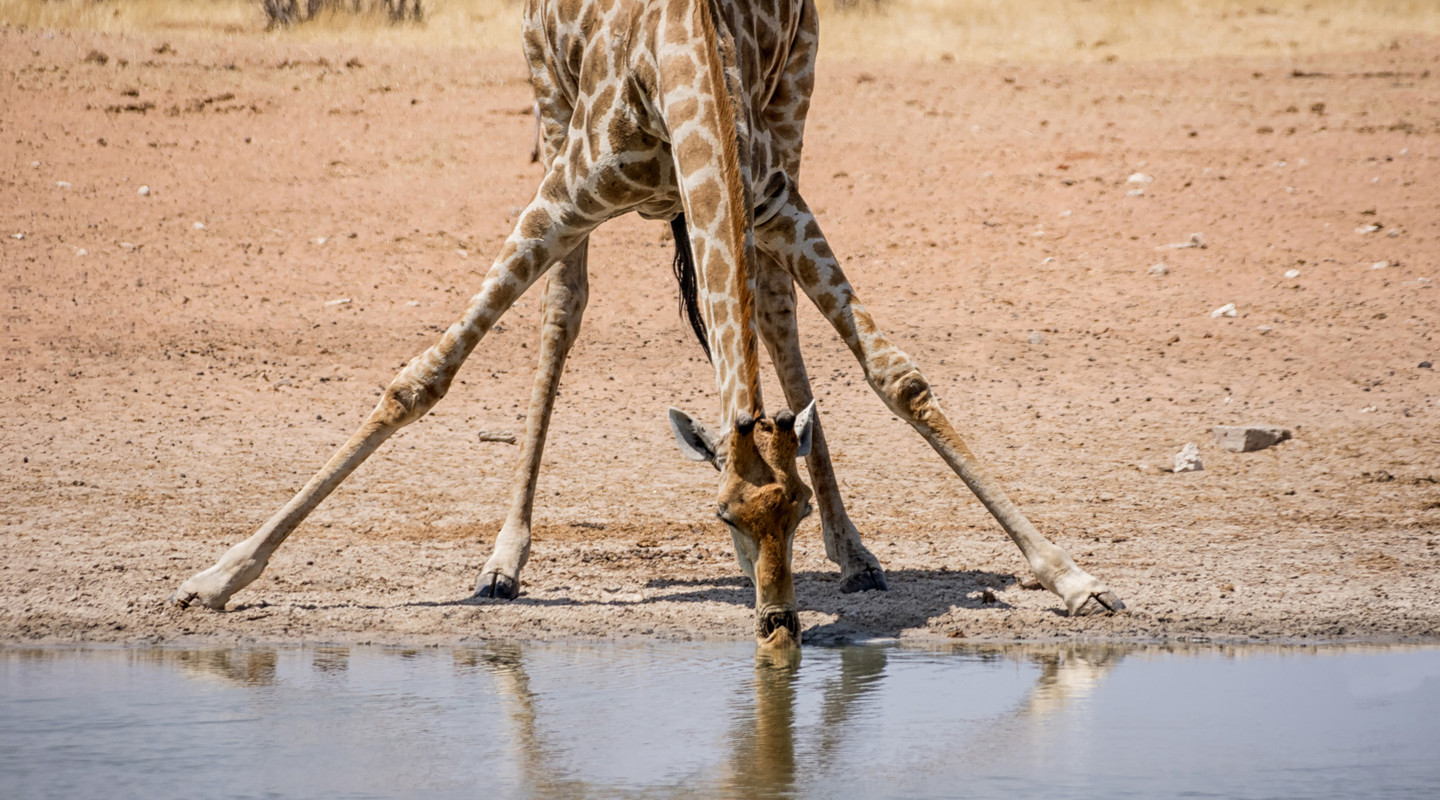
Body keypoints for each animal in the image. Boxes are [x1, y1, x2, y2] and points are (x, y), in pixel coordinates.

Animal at [174, 0, 1123, 644]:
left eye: (794, 513)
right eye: (723, 518)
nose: (778, 624)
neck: (679, 66)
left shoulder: (776, 196)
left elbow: (899, 378)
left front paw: (1073, 578)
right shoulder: (563, 195)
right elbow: (421, 380)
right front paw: (217, 577)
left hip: (797, 98)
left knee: (773, 310)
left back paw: (857, 557)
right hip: (547, 105)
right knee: (564, 311)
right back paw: (503, 562)